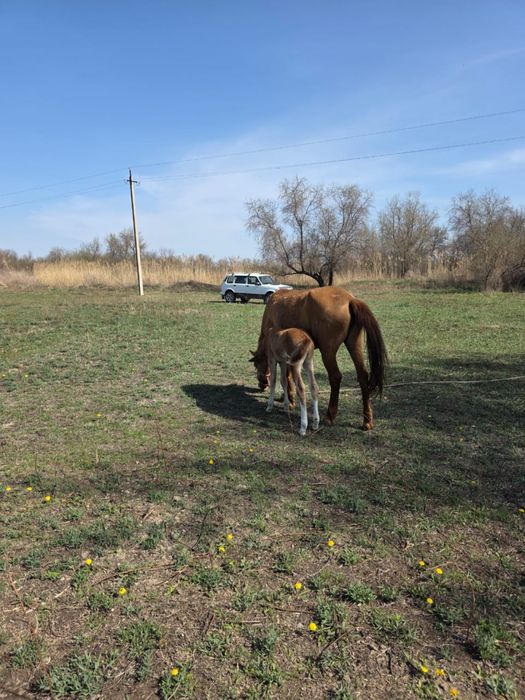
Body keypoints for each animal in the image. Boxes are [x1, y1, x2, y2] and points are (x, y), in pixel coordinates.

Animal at [250, 286, 387, 429]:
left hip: (328, 352)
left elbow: (286, 378)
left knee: (335, 377)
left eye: (256, 364)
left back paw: (329, 416)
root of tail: (350, 299)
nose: (261, 384)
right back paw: (367, 420)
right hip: (354, 345)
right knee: (362, 376)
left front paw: (290, 401)